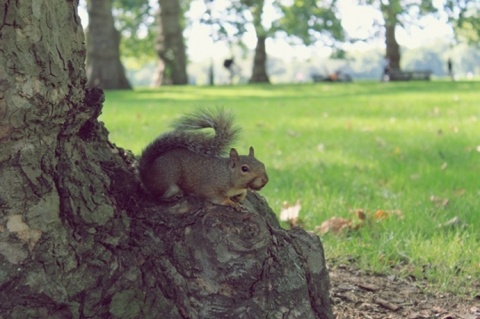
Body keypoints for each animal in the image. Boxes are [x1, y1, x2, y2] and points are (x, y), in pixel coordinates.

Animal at [137, 108, 268, 210]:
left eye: (262, 164)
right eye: (244, 169)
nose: (265, 180)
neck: (227, 176)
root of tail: (146, 172)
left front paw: (240, 197)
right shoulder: (210, 188)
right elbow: (218, 198)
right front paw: (231, 202)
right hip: (167, 182)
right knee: (157, 197)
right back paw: (173, 197)